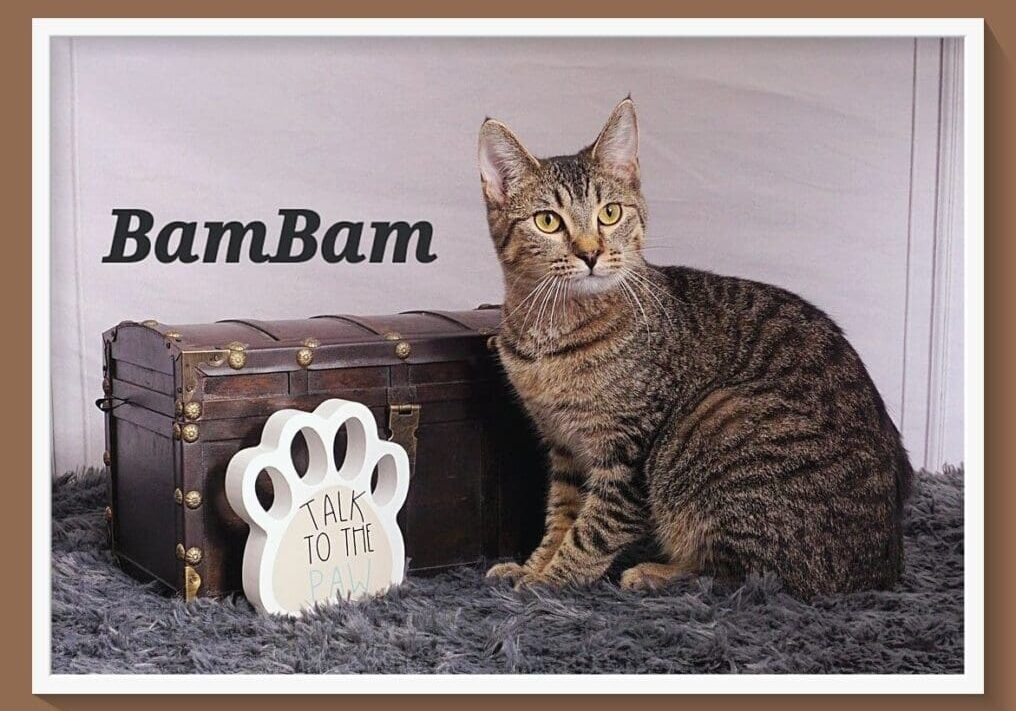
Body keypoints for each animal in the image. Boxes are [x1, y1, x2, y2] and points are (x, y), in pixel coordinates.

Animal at [475, 97, 914, 597]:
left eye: (610, 213)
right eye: (548, 221)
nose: (590, 253)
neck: (551, 333)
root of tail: (883, 566)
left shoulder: (628, 453)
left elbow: (593, 529)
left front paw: (550, 581)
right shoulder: (564, 447)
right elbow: (563, 515)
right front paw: (532, 565)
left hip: (713, 421)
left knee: (746, 577)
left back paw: (654, 573)